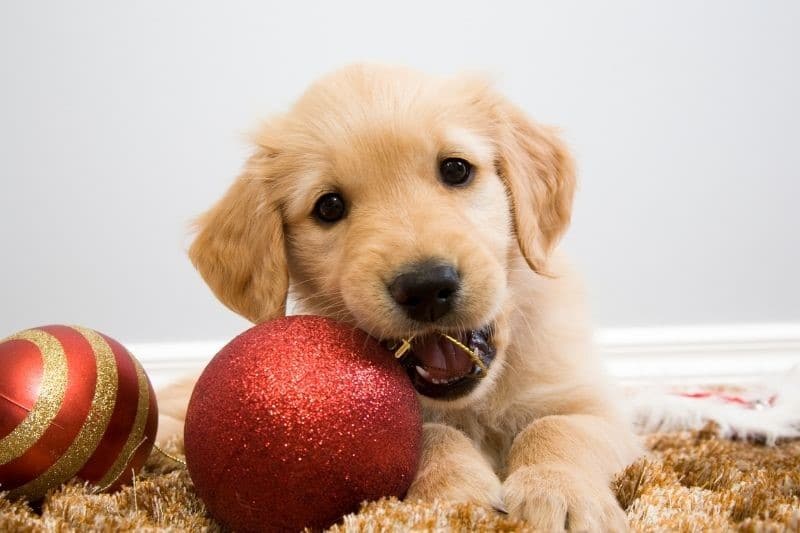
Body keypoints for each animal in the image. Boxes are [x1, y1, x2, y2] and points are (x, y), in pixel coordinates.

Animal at [159, 62, 640, 528]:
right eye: (329, 207)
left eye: (456, 169)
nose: (426, 288)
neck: (471, 404)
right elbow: (425, 434)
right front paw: (455, 501)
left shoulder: (600, 406)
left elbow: (557, 427)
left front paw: (559, 492)